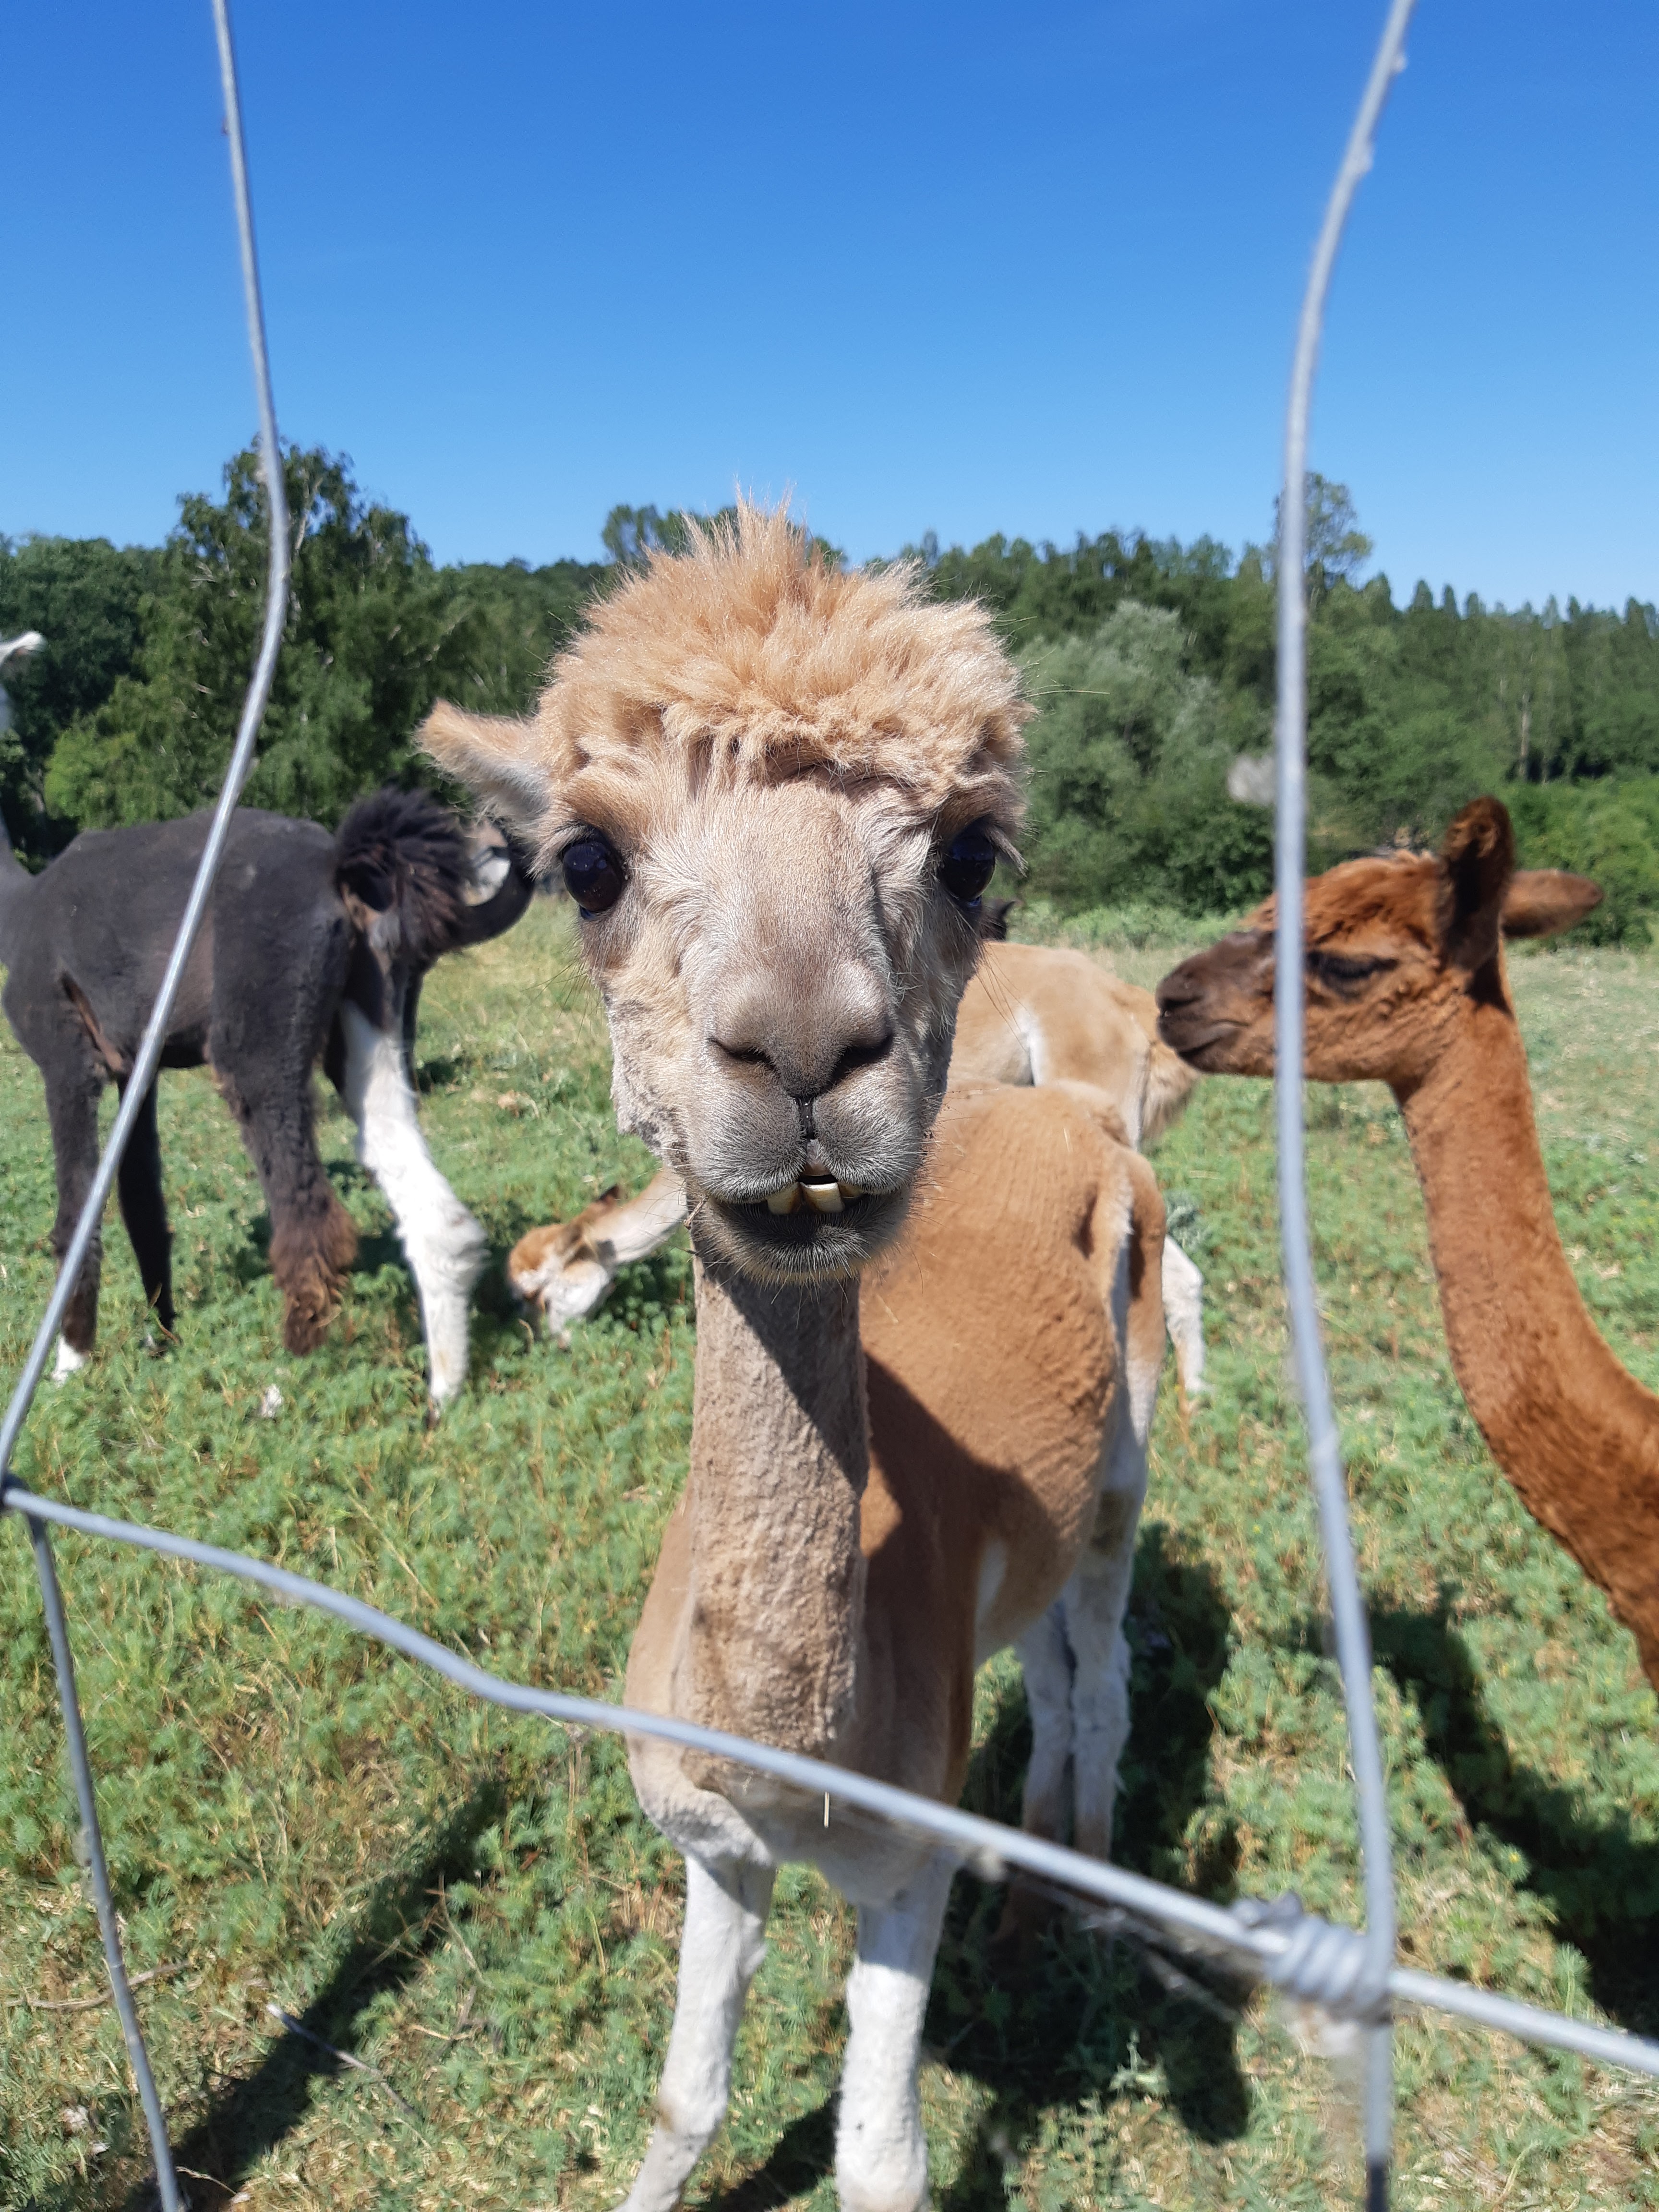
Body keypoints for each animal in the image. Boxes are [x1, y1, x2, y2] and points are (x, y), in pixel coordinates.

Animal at [0, 789, 531, 1409]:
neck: (19, 906)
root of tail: (336, 868)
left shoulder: (65, 1059)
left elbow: (76, 1213)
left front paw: (69, 1364)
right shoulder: (137, 1069)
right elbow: (143, 1207)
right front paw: (162, 1337)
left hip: (258, 1034)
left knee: (308, 1211)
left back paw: (298, 1360)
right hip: (367, 1017)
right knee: (428, 1203)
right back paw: (443, 1393)